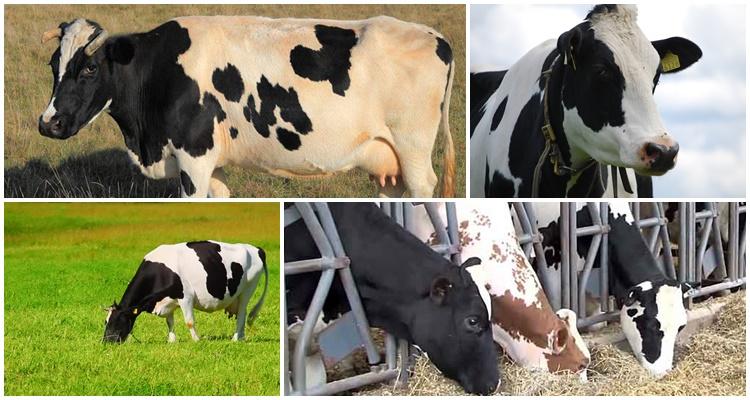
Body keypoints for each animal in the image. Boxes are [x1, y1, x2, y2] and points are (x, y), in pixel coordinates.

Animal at [39, 16, 455, 198]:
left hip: (414, 149)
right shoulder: (211, 162)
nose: (48, 123)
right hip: (388, 161)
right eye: (53, 64)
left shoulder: (193, 157)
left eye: (89, 68)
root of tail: (434, 34)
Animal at [103, 241, 268, 343]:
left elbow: (189, 321)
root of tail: (256, 249)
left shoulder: (186, 296)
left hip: (248, 289)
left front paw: (197, 340)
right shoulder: (166, 300)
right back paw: (241, 337)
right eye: (106, 321)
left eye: (117, 320)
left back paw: (235, 339)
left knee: (242, 314)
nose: (106, 342)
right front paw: (171, 341)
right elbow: (169, 322)